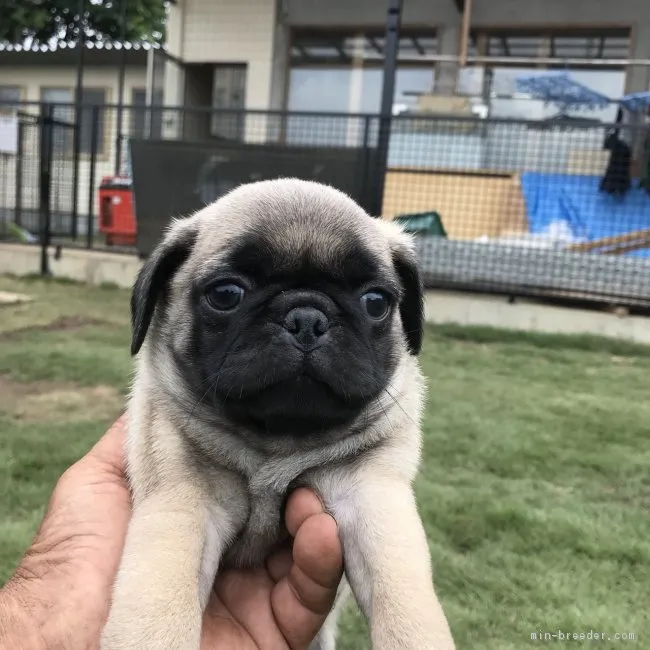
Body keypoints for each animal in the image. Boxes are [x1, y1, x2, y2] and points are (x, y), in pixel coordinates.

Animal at [102, 178, 456, 648]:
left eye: (376, 302)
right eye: (226, 295)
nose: (306, 317)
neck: (276, 442)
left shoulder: (371, 495)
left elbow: (405, 602)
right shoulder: (182, 502)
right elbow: (160, 611)